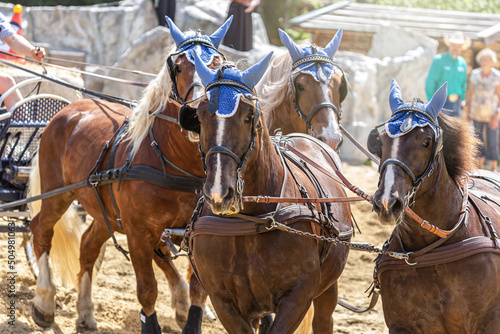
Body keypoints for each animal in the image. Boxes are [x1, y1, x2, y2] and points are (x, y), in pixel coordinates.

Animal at [27, 16, 230, 334]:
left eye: (219, 64)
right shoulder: (138, 232)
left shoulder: (192, 232)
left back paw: (85, 313)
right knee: (41, 231)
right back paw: (45, 303)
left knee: (88, 246)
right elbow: (147, 290)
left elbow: (198, 289)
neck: (176, 162)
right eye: (179, 67)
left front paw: (188, 311)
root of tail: (69, 109)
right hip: (57, 192)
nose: (199, 113)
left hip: (105, 212)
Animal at [179, 51, 352, 332]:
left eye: (249, 116)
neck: (250, 221)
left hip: (328, 288)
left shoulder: (298, 296)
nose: (219, 192)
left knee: (323, 319)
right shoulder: (223, 300)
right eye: (201, 117)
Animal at [372, 79, 500, 332]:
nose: (387, 203)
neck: (432, 248)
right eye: (381, 141)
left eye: (425, 142)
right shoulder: (401, 325)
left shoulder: (490, 322)